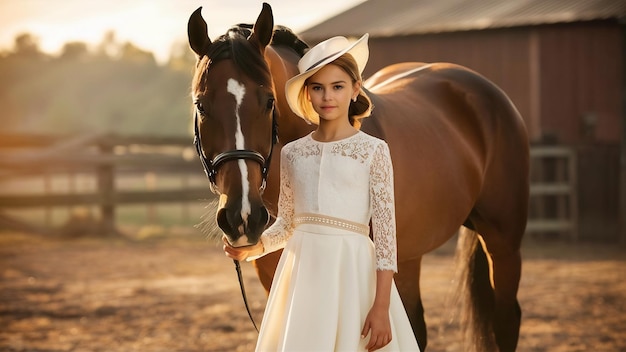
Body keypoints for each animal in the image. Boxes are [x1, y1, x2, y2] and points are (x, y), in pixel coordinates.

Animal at [186, 3, 528, 352]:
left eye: (269, 101)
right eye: (201, 105)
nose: (242, 217)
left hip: (503, 244)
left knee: (506, 319)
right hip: (408, 255)